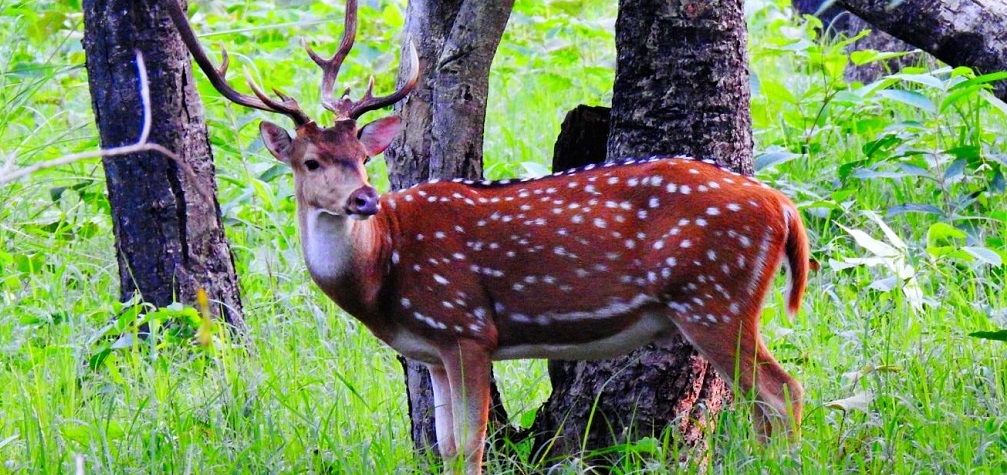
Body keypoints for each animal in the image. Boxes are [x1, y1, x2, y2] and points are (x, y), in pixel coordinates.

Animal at [165, 0, 809, 470]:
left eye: (362, 158)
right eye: (311, 162)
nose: (364, 199)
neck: (381, 277)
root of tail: (783, 205)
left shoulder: (465, 326)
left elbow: (472, 446)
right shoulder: (429, 350)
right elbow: (447, 446)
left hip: (713, 297)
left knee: (783, 392)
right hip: (720, 301)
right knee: (762, 402)